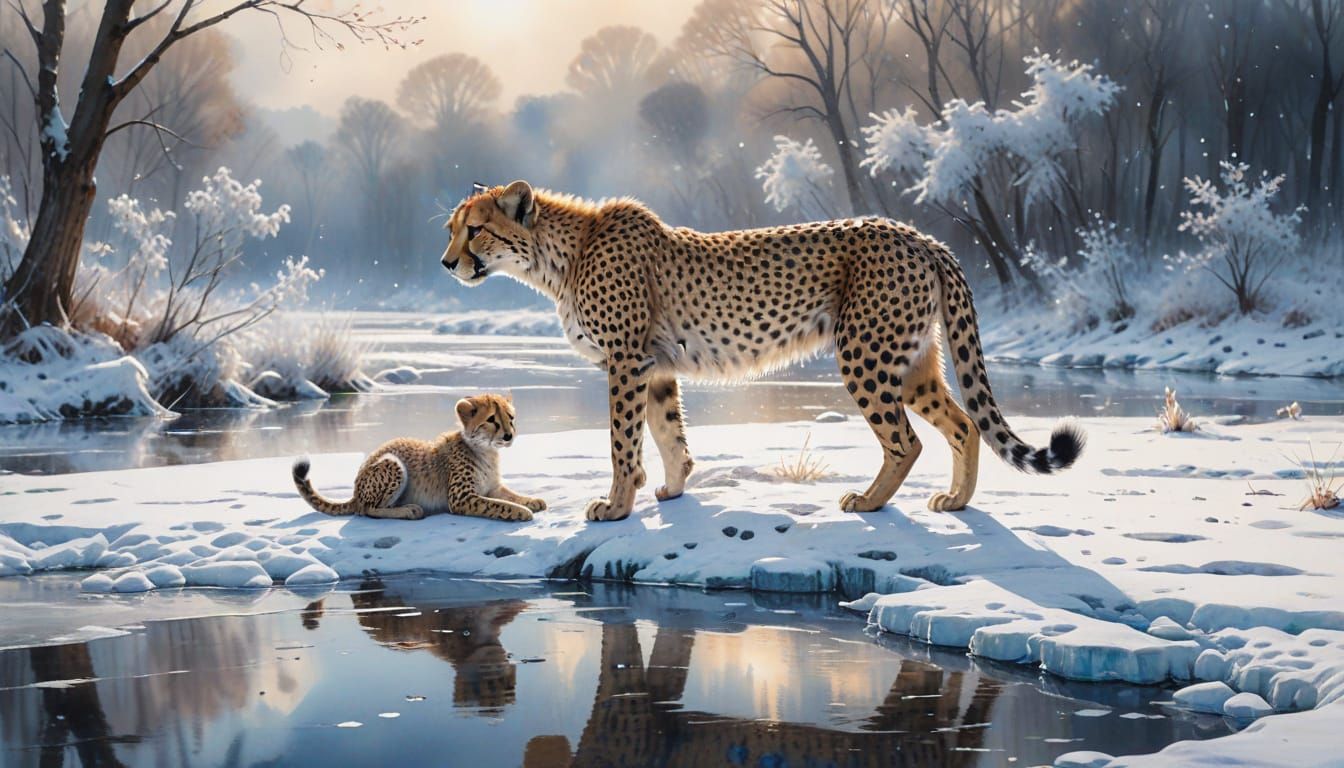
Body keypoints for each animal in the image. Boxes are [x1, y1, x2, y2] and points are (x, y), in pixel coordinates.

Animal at [291, 393, 546, 522]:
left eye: (510, 417)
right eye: (492, 419)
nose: (508, 435)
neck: (485, 449)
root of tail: (355, 492)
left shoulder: (491, 488)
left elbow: (509, 495)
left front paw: (532, 501)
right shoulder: (461, 498)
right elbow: (498, 505)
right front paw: (522, 512)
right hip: (392, 464)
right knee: (366, 509)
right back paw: (408, 510)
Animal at [439, 180, 1083, 522]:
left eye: (475, 230)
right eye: (452, 228)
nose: (447, 263)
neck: (559, 257)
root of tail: (920, 235)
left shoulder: (626, 360)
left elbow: (623, 441)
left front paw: (617, 505)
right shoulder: (656, 365)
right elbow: (670, 432)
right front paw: (673, 490)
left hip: (865, 353)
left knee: (905, 439)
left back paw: (868, 501)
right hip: (913, 360)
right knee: (964, 424)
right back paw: (956, 500)